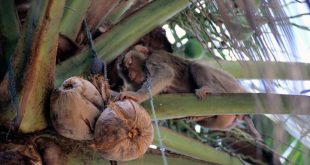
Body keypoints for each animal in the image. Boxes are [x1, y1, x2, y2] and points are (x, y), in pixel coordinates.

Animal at [116, 44, 262, 139]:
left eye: (129, 63)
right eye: (125, 71)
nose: (130, 74)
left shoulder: (154, 59)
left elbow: (166, 73)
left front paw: (136, 96)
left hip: (228, 84)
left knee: (195, 65)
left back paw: (211, 89)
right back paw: (197, 117)